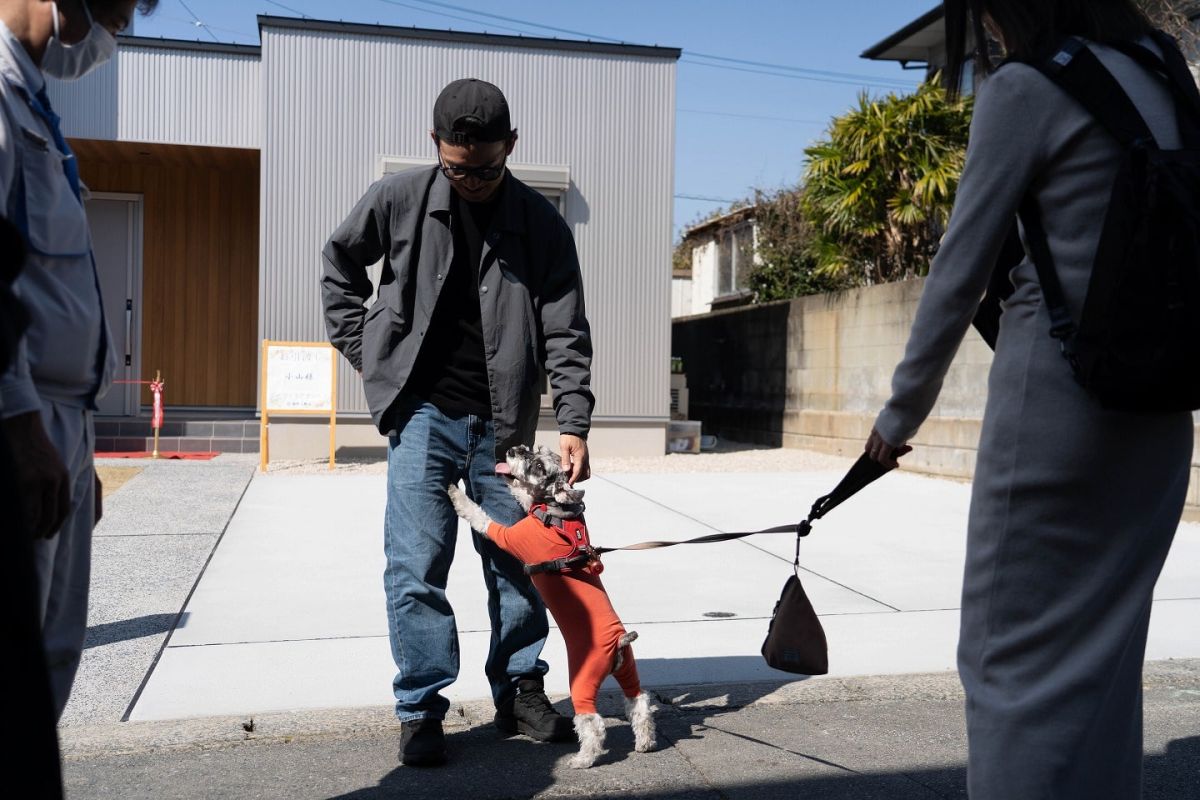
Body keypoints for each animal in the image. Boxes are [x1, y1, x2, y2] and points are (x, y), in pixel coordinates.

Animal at [451, 443, 657, 767]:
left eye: (537, 465)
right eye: (533, 449)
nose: (513, 448)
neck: (555, 513)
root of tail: (619, 642)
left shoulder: (507, 535)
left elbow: (483, 517)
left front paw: (455, 494)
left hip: (583, 680)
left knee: (592, 722)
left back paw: (583, 759)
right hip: (629, 671)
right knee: (639, 703)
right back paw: (645, 743)